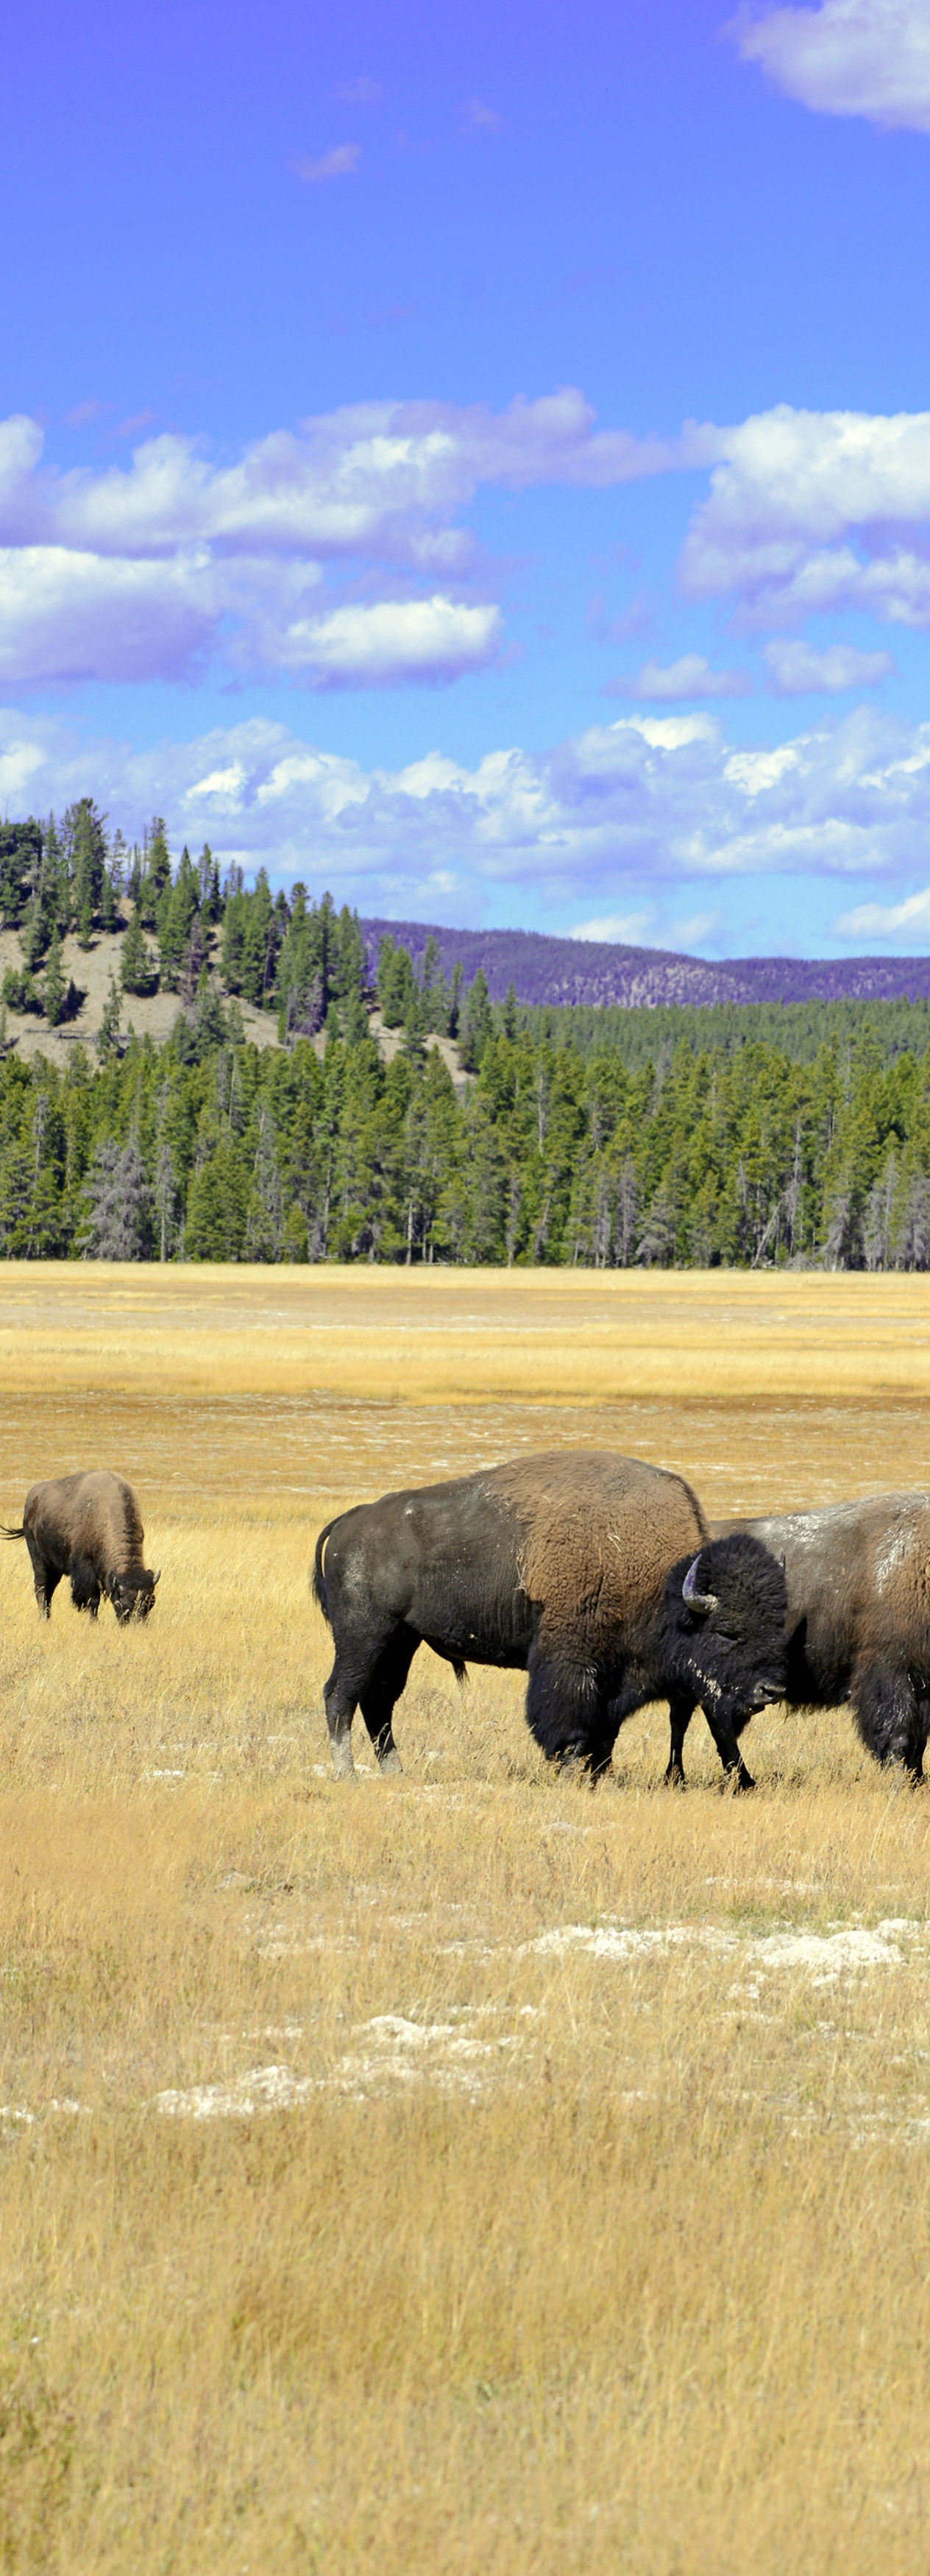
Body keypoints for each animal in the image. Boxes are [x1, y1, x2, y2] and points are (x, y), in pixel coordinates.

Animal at [0, 1473, 160, 1628]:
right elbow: (94, 1598)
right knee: (41, 1587)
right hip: (38, 1558)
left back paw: (48, 1617)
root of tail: (32, 1498)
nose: (137, 1625)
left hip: (55, 1568)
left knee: (50, 1589)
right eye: (123, 1604)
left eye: (150, 1603)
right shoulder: (85, 1567)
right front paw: (94, 1623)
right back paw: (43, 1619)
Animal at [311, 1453, 783, 1793]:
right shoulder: (571, 1660)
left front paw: (597, 1775)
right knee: (341, 1695)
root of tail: (350, 1520)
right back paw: (347, 1774)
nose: (771, 1691)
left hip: (401, 1641)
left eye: (774, 1626)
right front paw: (573, 1771)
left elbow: (606, 1732)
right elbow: (570, 1721)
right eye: (727, 1632)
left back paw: (396, 1772)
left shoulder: (612, 1679)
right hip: (363, 1635)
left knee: (379, 1701)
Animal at [664, 1494, 930, 1793]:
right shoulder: (890, 1671)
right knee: (699, 1720)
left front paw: (917, 1781)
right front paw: (900, 1784)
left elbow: (919, 1742)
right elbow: (899, 1736)